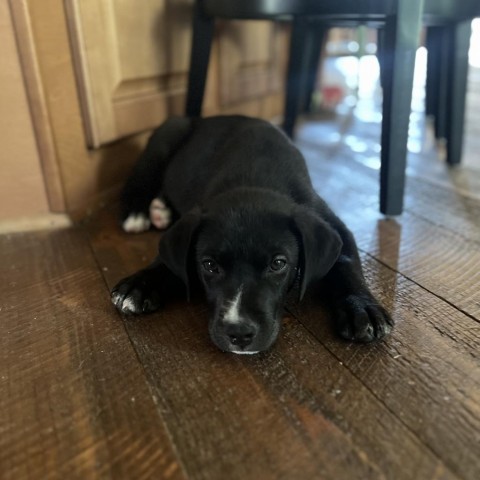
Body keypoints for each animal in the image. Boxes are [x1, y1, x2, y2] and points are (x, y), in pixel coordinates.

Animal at [112, 116, 394, 354]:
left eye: (278, 263)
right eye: (209, 265)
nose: (239, 333)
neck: (254, 178)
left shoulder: (333, 225)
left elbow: (347, 263)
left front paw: (361, 306)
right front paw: (141, 283)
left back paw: (161, 209)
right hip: (167, 135)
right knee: (139, 180)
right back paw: (139, 212)